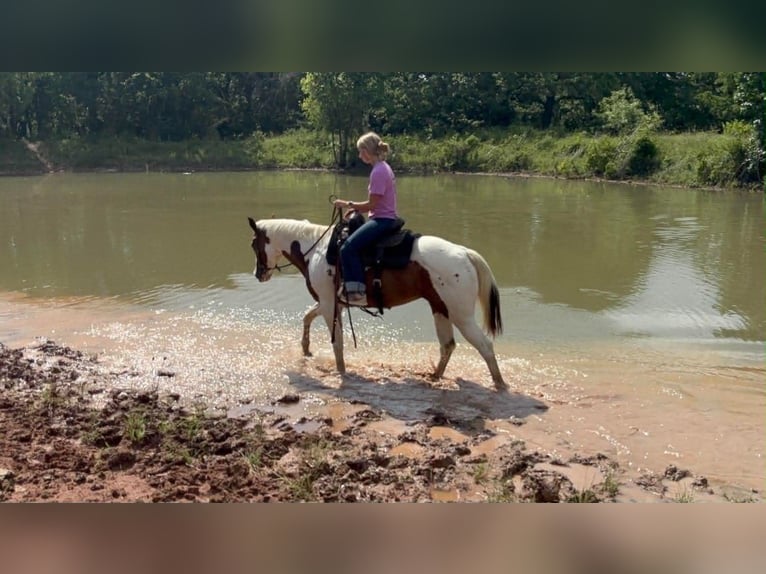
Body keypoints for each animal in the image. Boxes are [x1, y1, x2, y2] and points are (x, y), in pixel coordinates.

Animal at [247, 216, 507, 390]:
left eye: (253, 244)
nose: (258, 274)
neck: (317, 250)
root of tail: (464, 253)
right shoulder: (332, 303)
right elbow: (307, 316)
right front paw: (306, 349)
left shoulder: (329, 304)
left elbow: (337, 342)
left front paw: (341, 372)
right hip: (440, 308)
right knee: (447, 345)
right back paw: (433, 376)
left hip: (461, 316)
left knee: (484, 346)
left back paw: (500, 384)